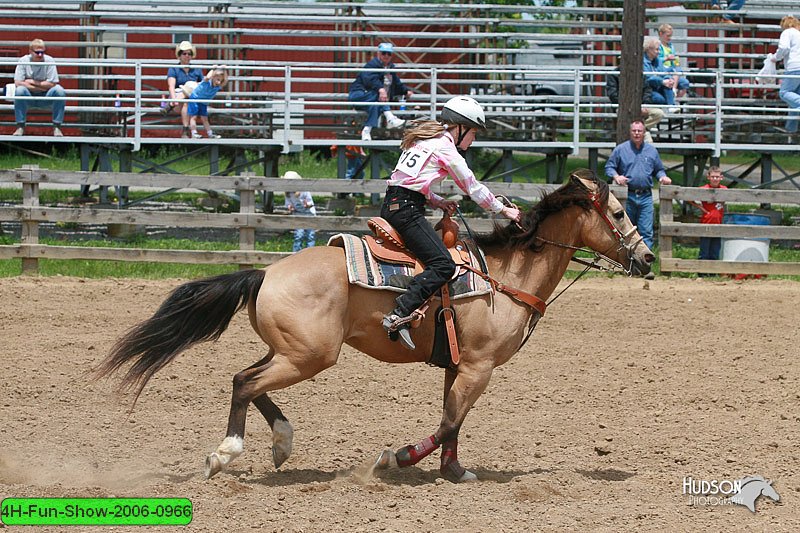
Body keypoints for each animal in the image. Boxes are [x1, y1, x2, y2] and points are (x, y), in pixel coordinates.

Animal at [95, 169, 656, 482]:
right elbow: (446, 424)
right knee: (244, 383)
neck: (503, 277)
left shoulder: (458, 367)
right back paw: (227, 453)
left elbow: (454, 424)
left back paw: (280, 443)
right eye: (619, 211)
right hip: (310, 356)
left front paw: (454, 472)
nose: (649, 258)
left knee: (245, 379)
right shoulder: (479, 367)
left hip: (291, 350)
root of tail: (265, 273)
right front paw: (395, 458)